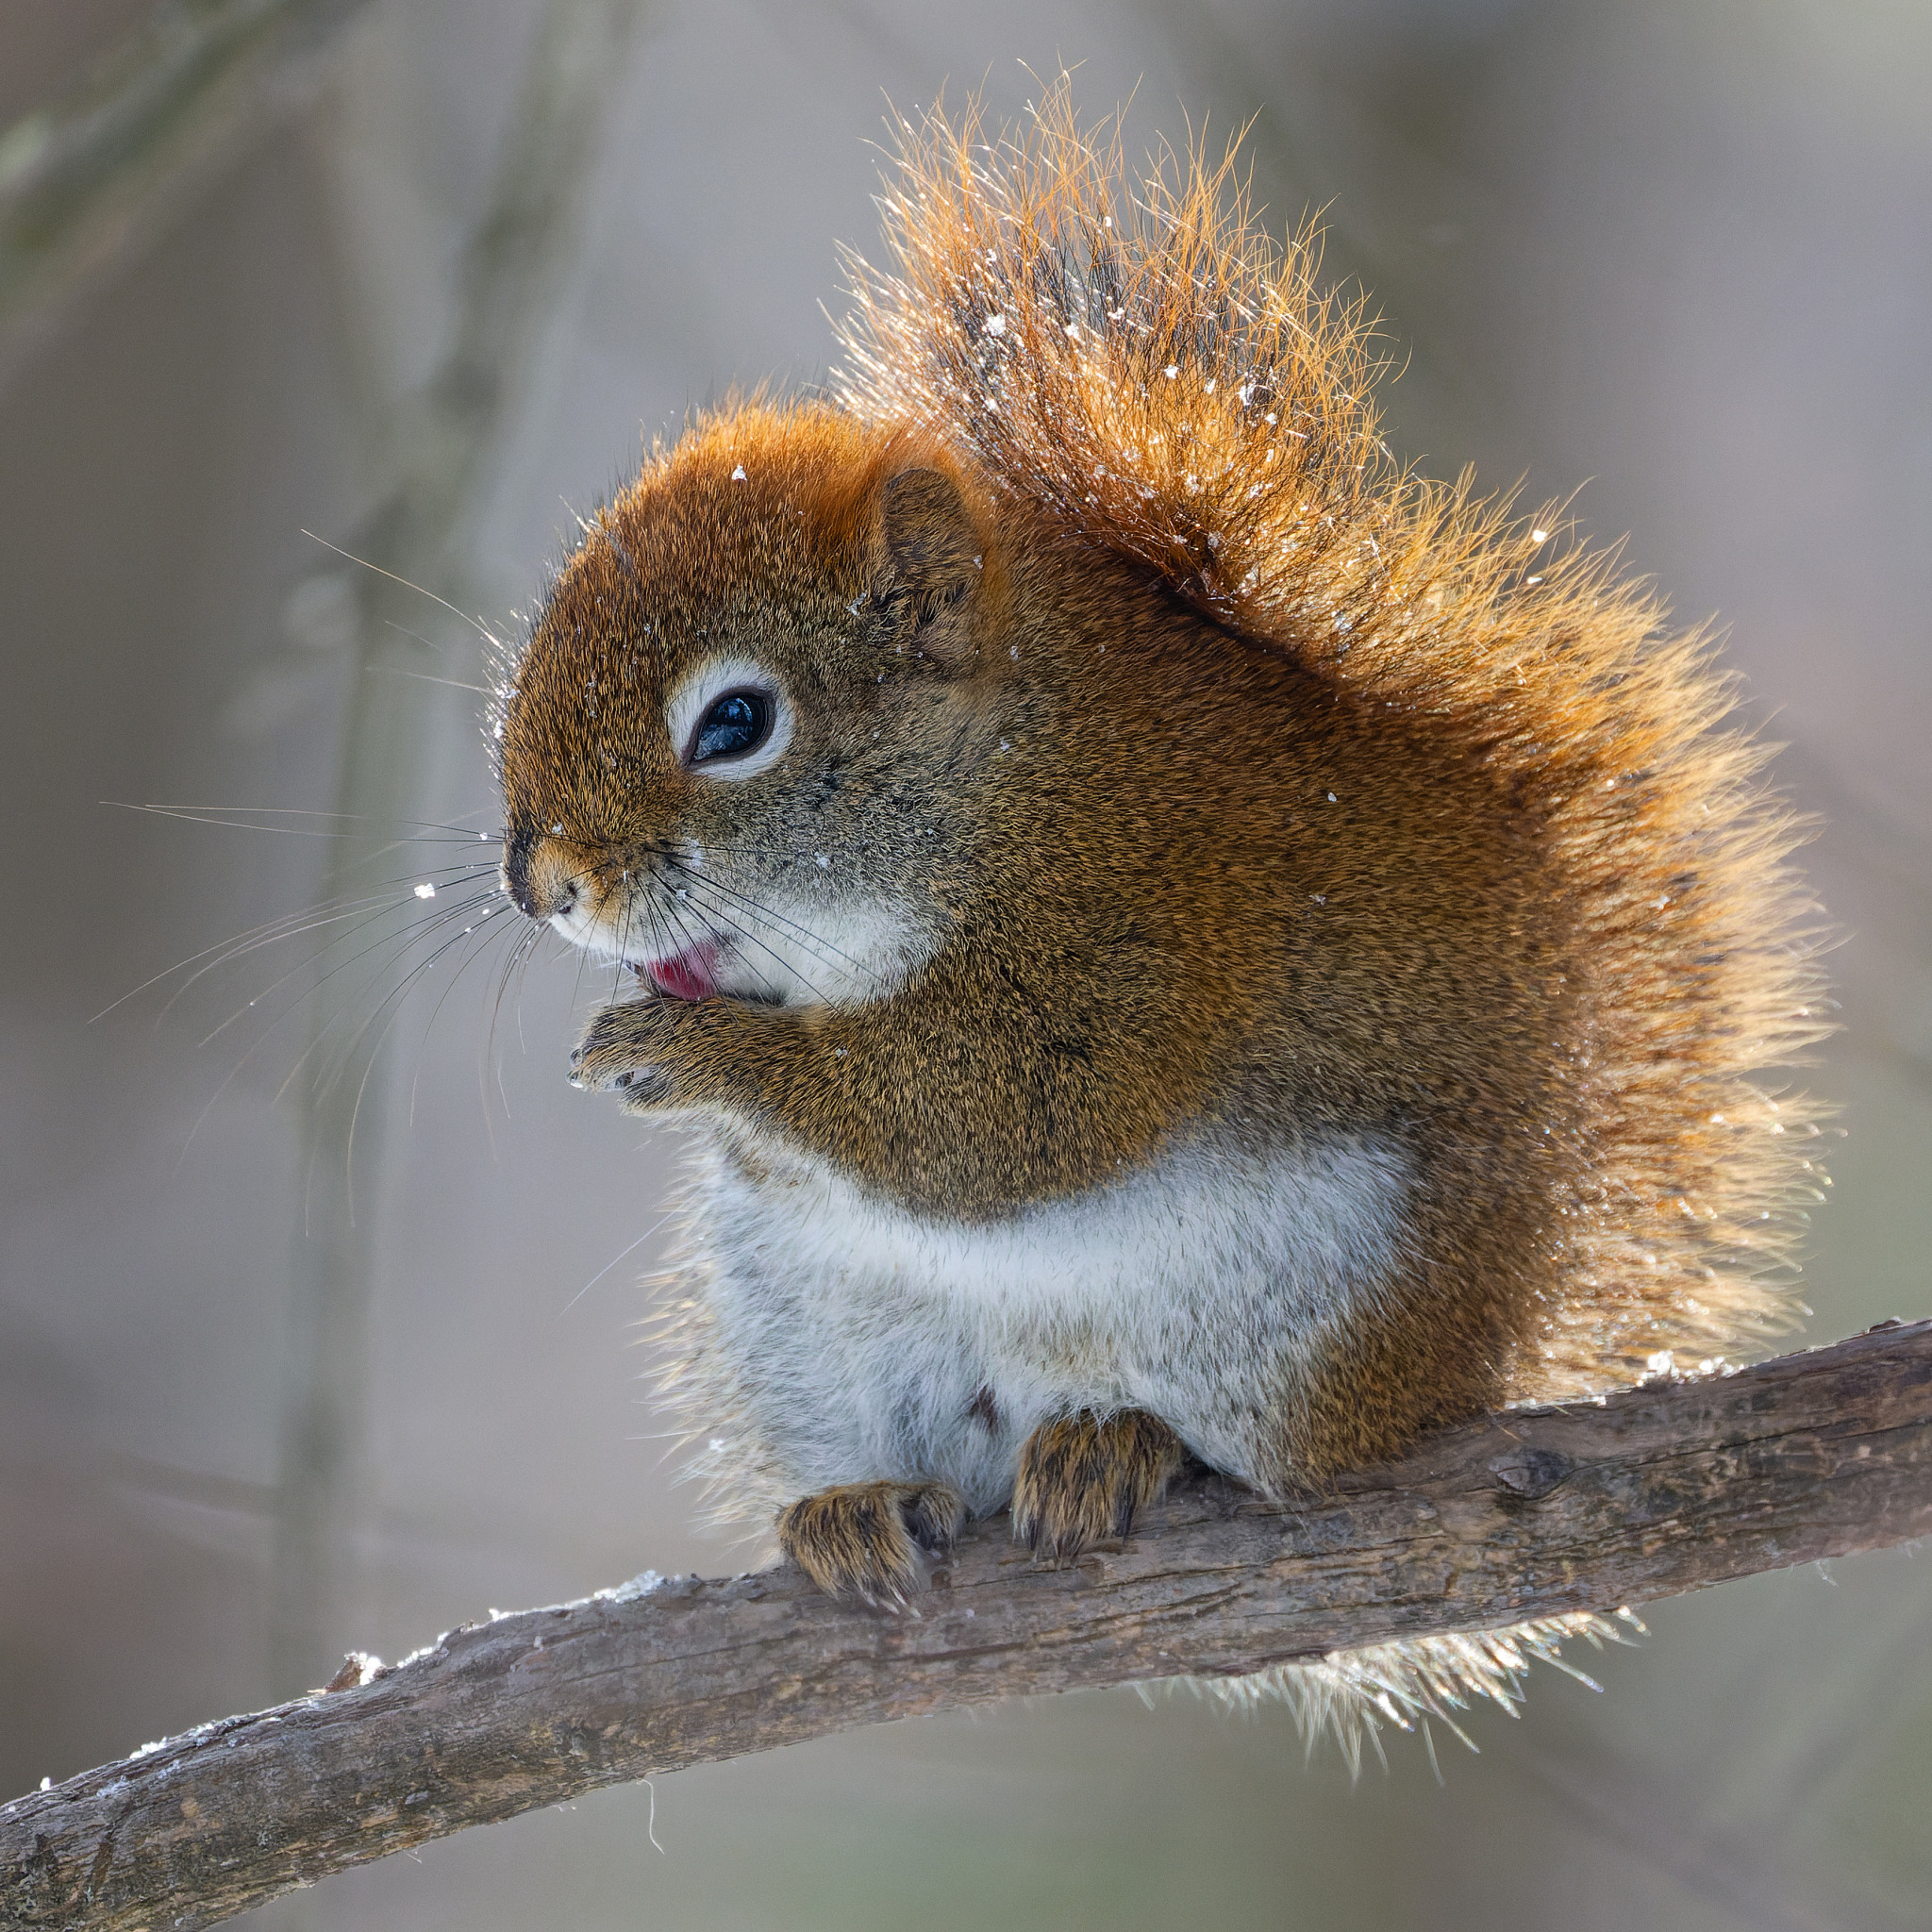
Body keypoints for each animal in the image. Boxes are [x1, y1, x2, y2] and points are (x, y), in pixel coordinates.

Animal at [491, 91, 1816, 1723]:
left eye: (736, 723)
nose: (542, 881)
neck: (1004, 774)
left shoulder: (1154, 917)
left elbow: (998, 1117)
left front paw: (702, 1059)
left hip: (1301, 1304)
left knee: (1244, 1446)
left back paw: (1130, 1446)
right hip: (807, 1333)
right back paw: (858, 1508)